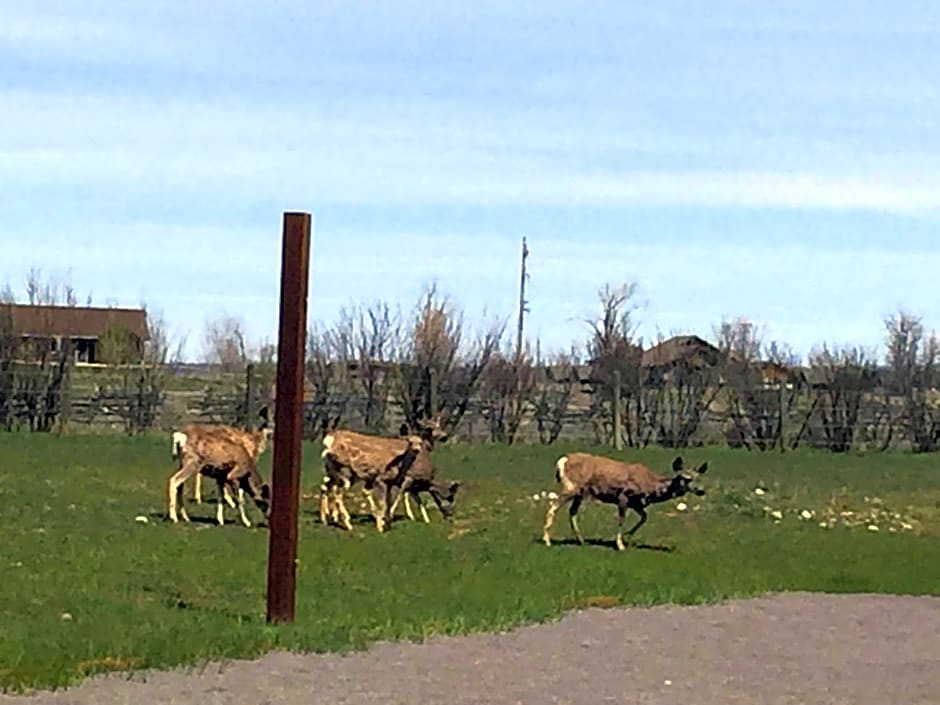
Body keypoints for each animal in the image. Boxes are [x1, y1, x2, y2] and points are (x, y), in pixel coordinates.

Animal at [540, 452, 708, 552]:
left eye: (699, 478)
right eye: (686, 478)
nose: (701, 491)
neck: (651, 487)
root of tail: (562, 461)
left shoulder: (637, 503)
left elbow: (644, 517)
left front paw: (627, 537)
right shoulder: (623, 496)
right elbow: (621, 519)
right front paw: (620, 544)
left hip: (580, 493)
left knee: (572, 512)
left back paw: (581, 541)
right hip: (571, 487)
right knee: (553, 506)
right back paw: (547, 540)